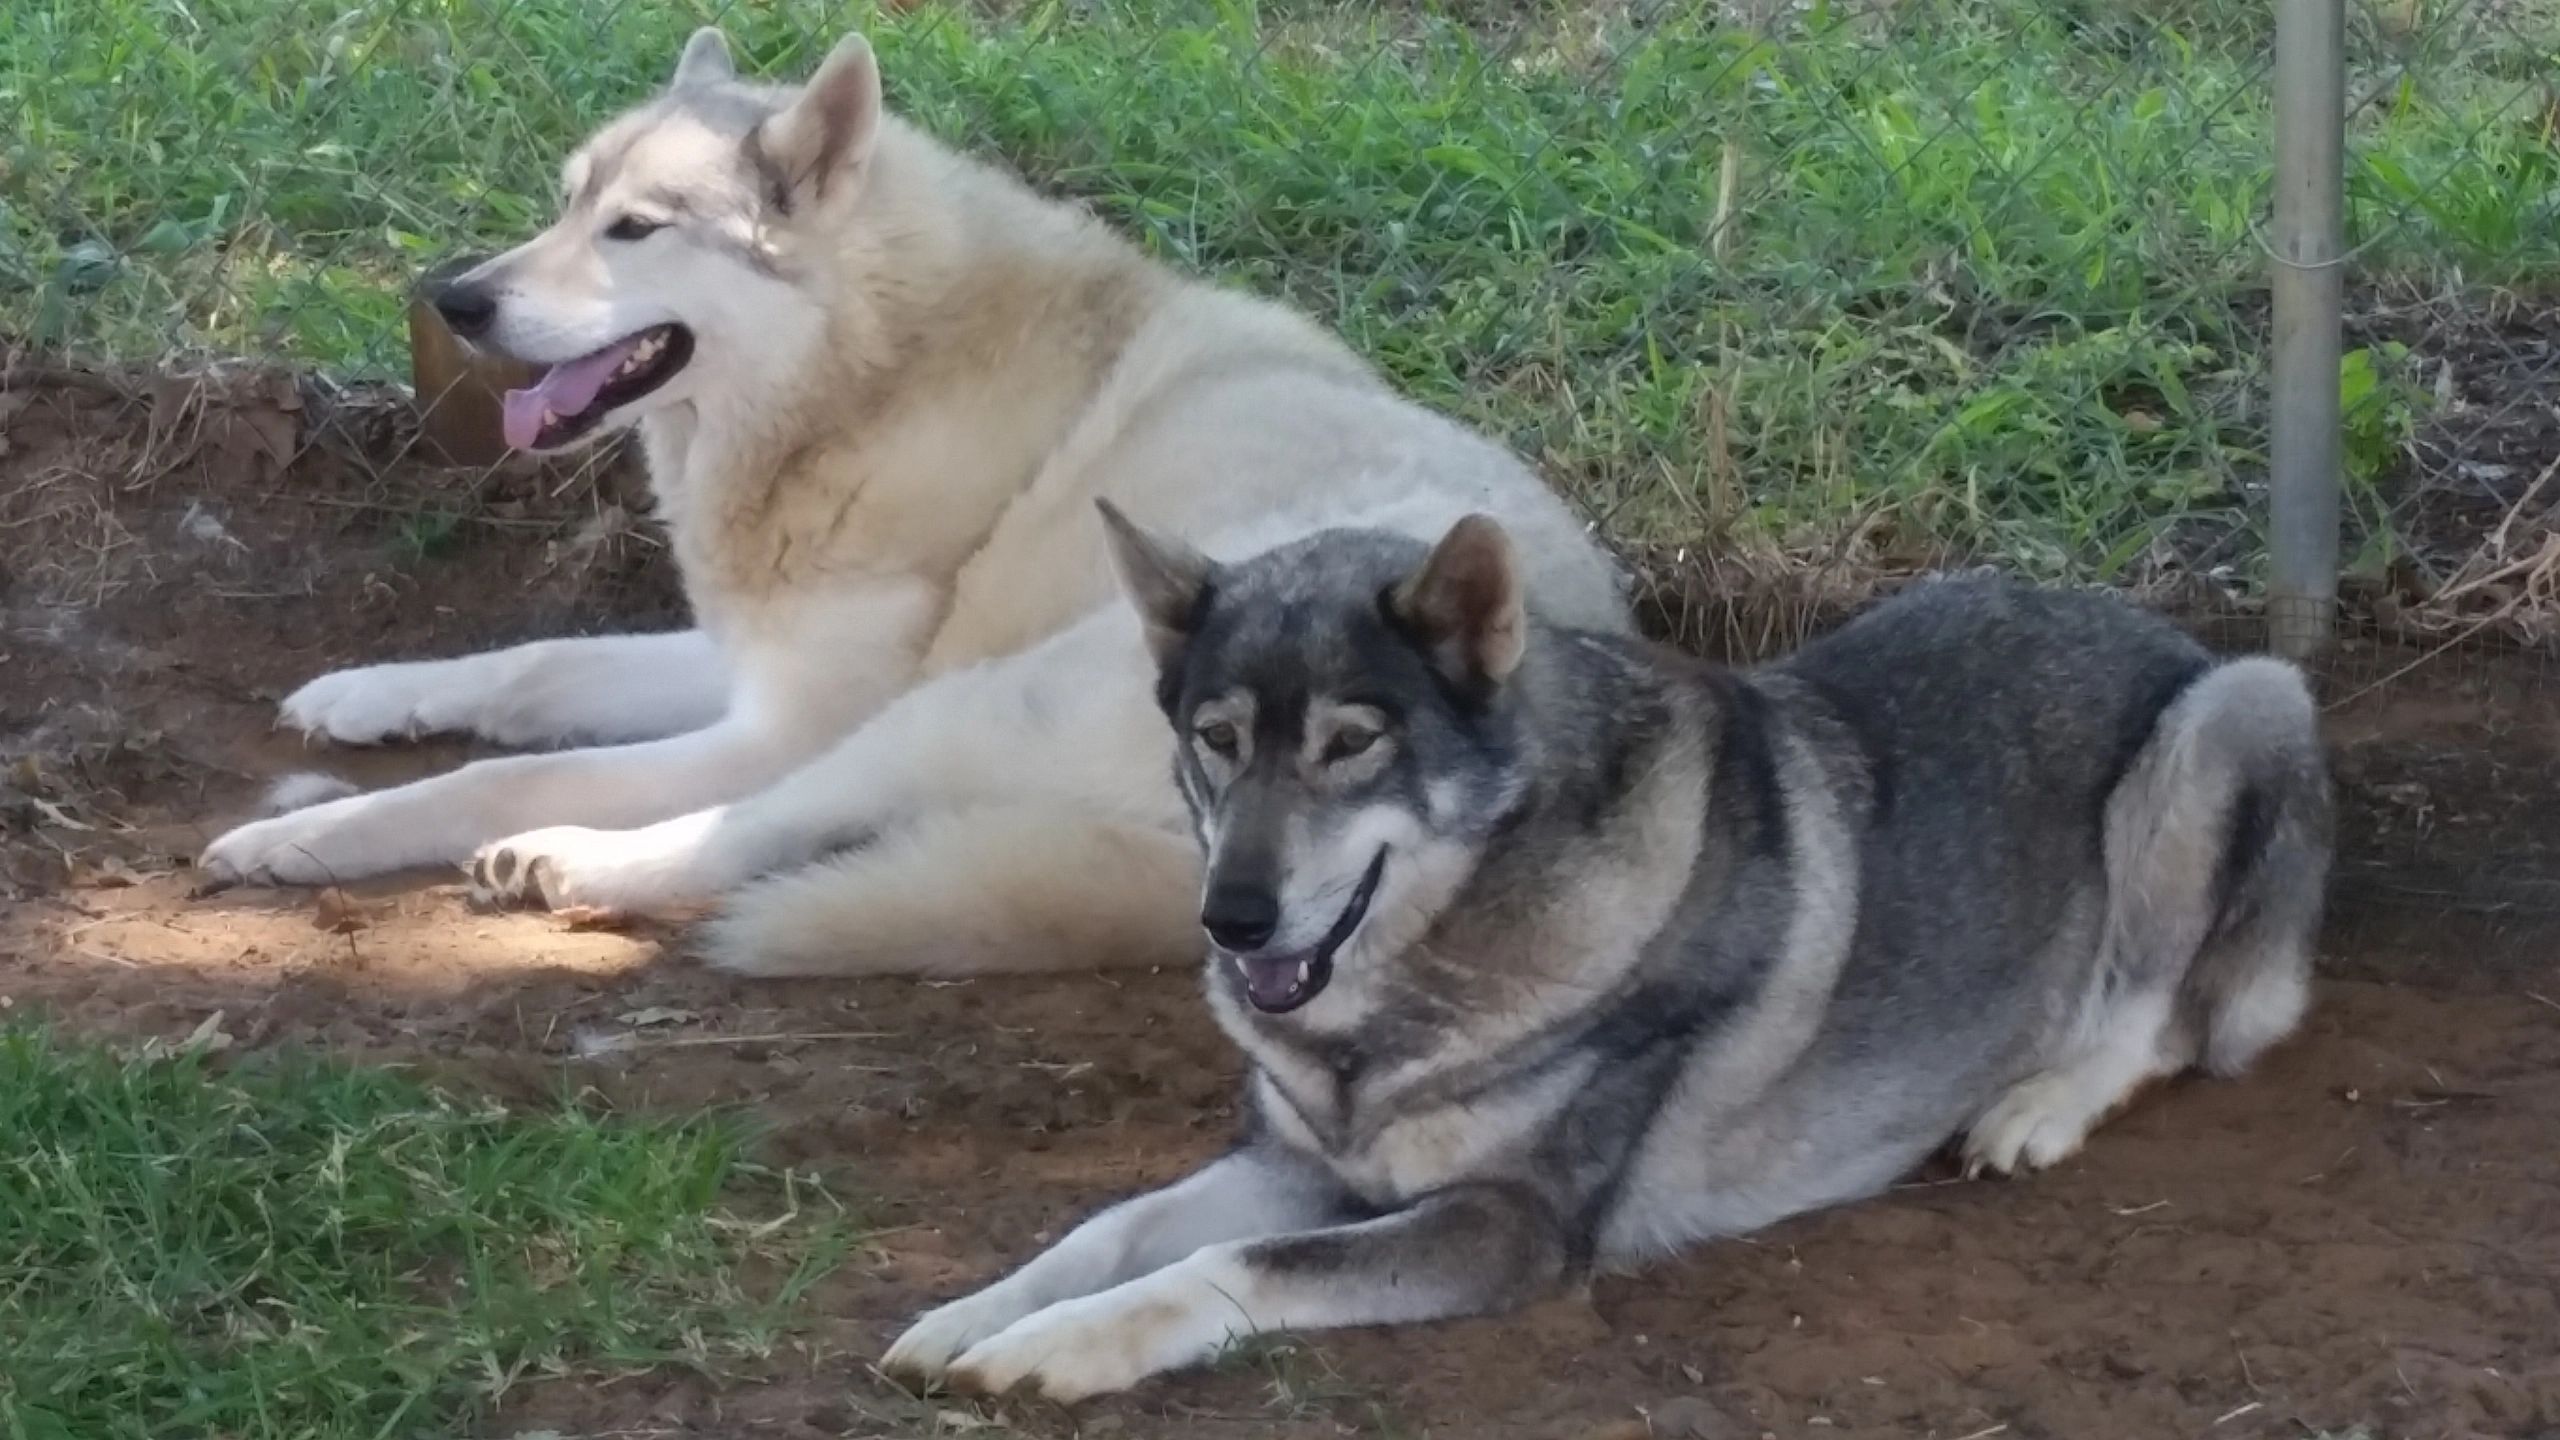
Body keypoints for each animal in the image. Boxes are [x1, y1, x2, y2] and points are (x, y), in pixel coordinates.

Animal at [194, 27, 1629, 978]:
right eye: (564, 205)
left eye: (636, 229)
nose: (455, 299)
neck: (871, 374)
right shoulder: (742, 660)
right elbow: (534, 666)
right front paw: (365, 695)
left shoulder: (778, 726)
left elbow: (503, 770)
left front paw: (316, 833)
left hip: (965, 706)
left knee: (749, 834)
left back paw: (569, 862)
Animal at [879, 508, 2332, 1402]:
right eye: (1216, 740)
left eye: (1352, 744)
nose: (1230, 920)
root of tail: (2165, 628)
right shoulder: (1297, 1166)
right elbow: (1109, 1226)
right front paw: (977, 1314)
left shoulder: (1509, 1227)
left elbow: (1226, 1268)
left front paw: (1058, 1350)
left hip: (2231, 720)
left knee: (2163, 1019)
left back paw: (2038, 1107)